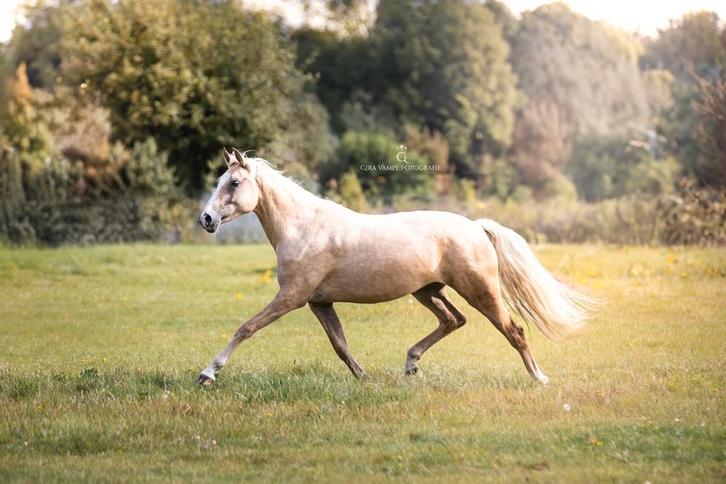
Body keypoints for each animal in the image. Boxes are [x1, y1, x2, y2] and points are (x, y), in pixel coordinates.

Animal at [196, 148, 592, 386]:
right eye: (219, 181)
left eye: (234, 182)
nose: (206, 219)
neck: (305, 228)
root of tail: (476, 226)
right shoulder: (319, 302)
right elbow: (340, 345)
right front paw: (363, 378)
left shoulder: (292, 297)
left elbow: (246, 328)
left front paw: (208, 374)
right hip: (427, 292)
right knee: (453, 320)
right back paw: (411, 364)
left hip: (480, 291)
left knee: (514, 330)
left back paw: (539, 378)